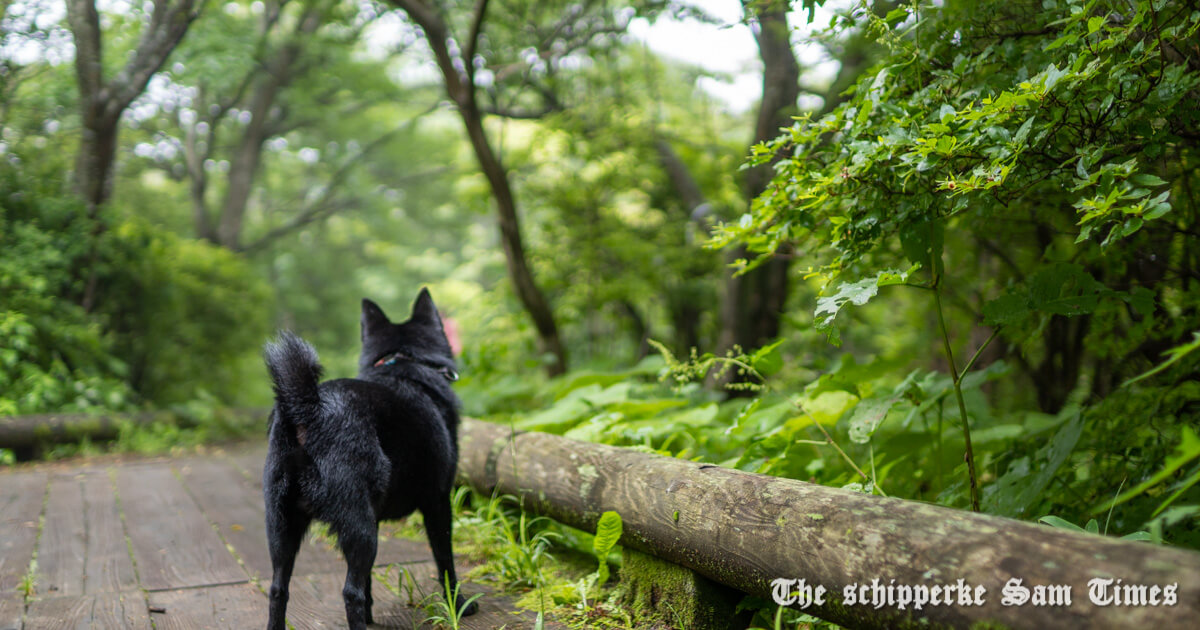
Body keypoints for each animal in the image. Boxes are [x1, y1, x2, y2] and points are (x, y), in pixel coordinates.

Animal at [262, 290, 477, 628]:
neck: (400, 364)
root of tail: (310, 408)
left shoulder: (376, 515)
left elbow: (369, 581)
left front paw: (372, 612)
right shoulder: (438, 502)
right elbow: (445, 560)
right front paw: (459, 604)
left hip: (282, 527)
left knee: (277, 589)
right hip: (359, 528)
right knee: (350, 592)